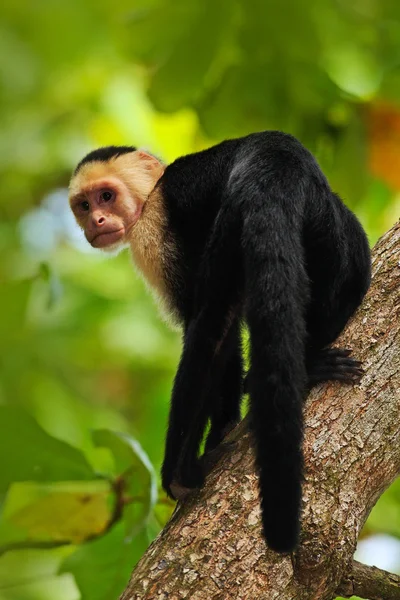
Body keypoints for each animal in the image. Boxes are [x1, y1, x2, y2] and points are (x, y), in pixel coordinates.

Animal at [69, 131, 372, 552]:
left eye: (106, 197)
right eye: (84, 205)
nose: (95, 221)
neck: (152, 192)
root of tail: (275, 160)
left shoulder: (156, 227)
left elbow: (213, 332)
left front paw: (184, 467)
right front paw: (222, 429)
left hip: (235, 216)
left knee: (211, 321)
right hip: (324, 223)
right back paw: (309, 361)